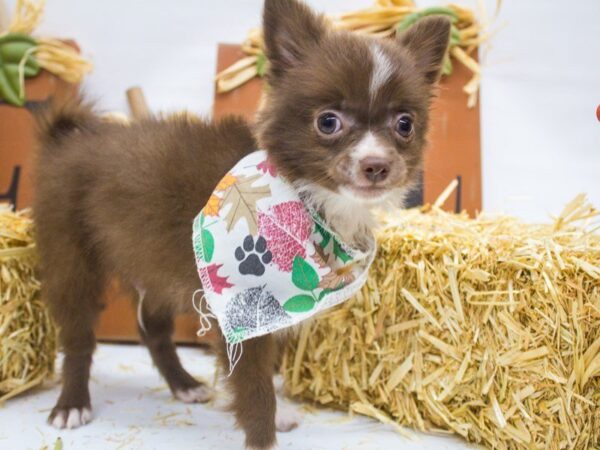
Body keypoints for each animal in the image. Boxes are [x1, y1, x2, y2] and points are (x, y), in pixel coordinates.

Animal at [30, 1, 448, 448]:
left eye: (404, 124)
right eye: (328, 122)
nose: (377, 165)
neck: (304, 196)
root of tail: (68, 139)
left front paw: (279, 418)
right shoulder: (243, 313)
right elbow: (256, 389)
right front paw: (264, 437)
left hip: (153, 264)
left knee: (153, 329)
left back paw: (183, 385)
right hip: (72, 254)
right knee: (78, 337)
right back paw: (72, 404)